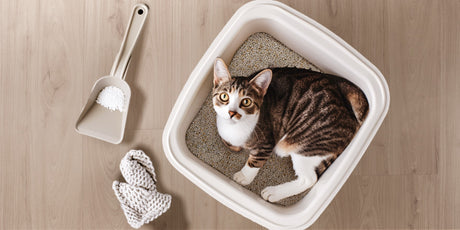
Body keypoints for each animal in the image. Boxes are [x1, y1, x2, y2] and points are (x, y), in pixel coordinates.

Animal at [211, 58, 366, 202]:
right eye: (224, 96)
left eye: (246, 101)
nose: (232, 113)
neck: (235, 128)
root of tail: (350, 116)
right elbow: (228, 141)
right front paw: (235, 146)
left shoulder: (266, 142)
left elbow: (255, 161)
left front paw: (244, 176)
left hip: (304, 145)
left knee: (310, 179)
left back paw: (274, 193)